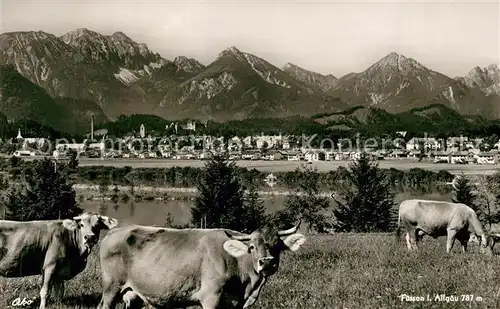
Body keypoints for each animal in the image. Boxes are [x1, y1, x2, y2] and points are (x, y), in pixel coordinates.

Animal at [94, 220, 304, 306]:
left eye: (277, 246)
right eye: (251, 247)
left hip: (135, 294)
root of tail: (115, 231)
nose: (266, 262)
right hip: (111, 288)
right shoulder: (211, 297)